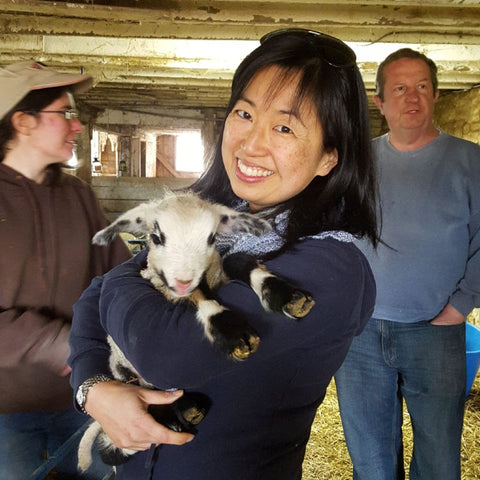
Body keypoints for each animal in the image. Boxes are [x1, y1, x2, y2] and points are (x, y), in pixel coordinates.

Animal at [77, 189, 316, 470]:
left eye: (211, 237)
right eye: (157, 237)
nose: (182, 280)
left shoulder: (218, 269)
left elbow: (237, 261)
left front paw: (286, 296)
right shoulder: (164, 286)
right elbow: (198, 295)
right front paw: (233, 333)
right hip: (123, 368)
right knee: (141, 402)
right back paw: (180, 413)